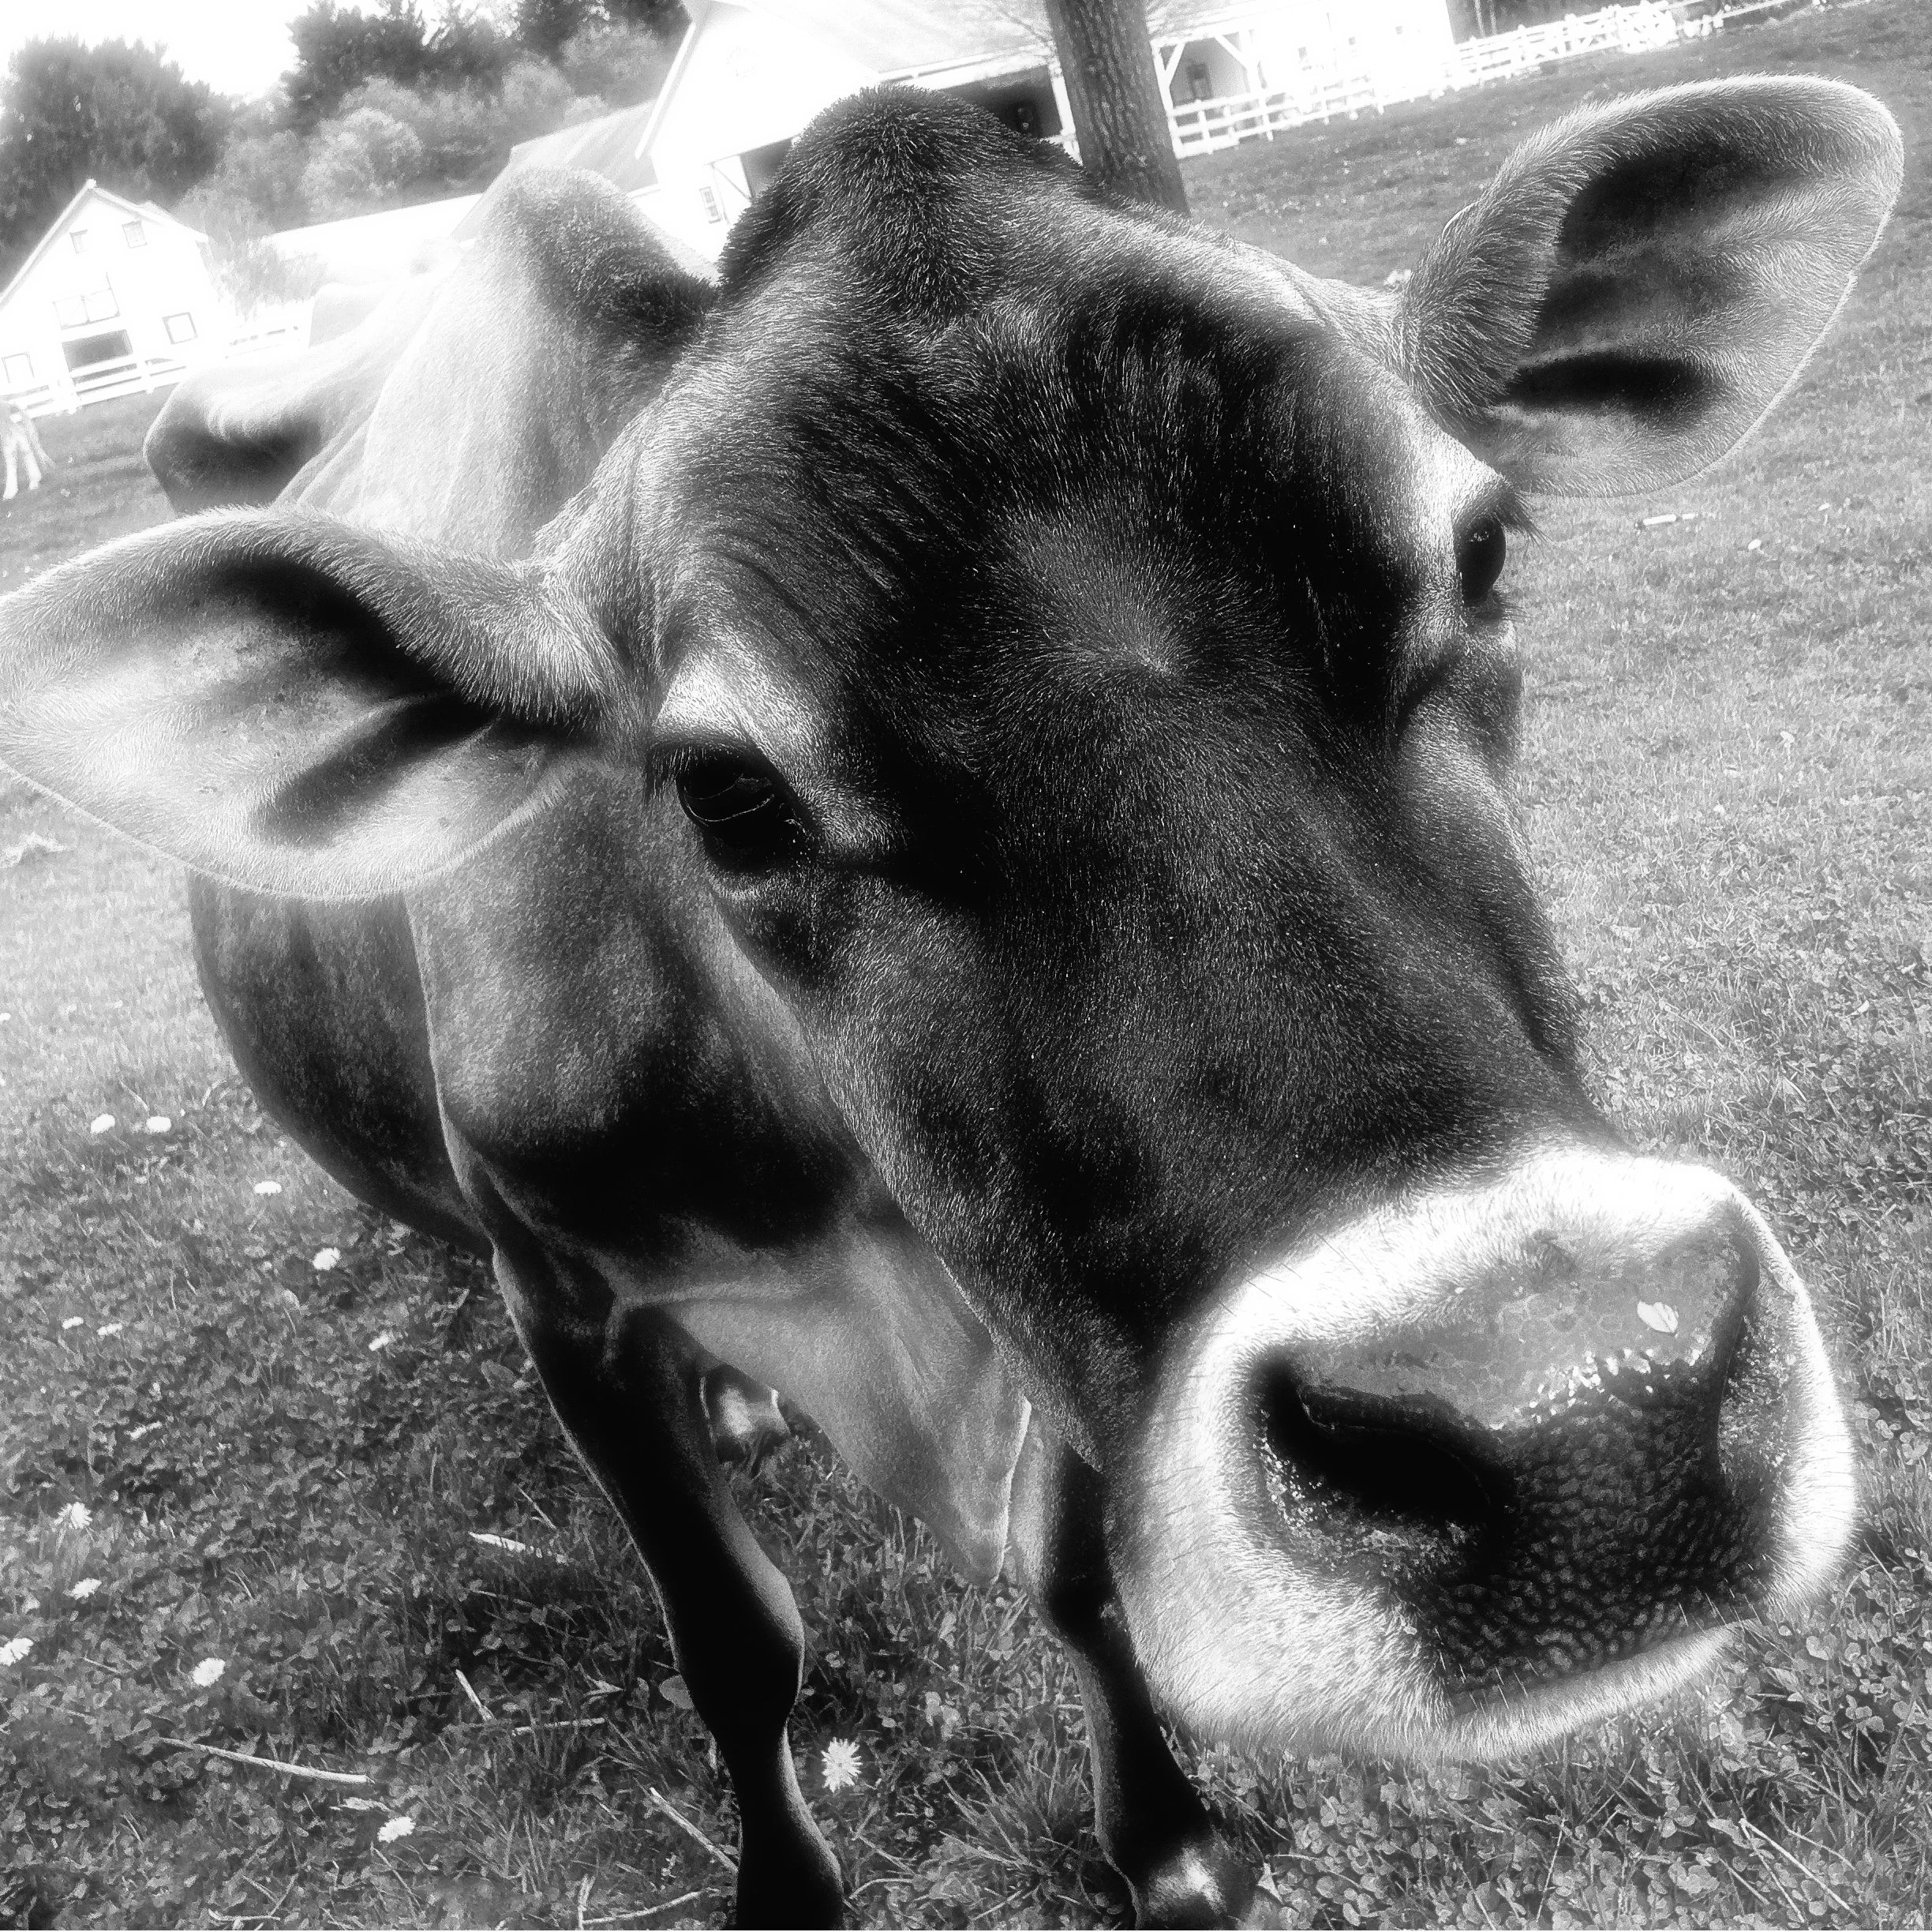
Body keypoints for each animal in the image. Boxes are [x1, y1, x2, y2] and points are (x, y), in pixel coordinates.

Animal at [0, 78, 1902, 1928]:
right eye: (723, 793)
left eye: (1487, 548)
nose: (1581, 1417)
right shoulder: (562, 1290)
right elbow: (735, 1644)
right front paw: (786, 1888)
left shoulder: (1039, 1312)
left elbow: (1078, 1582)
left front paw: (1169, 1838)